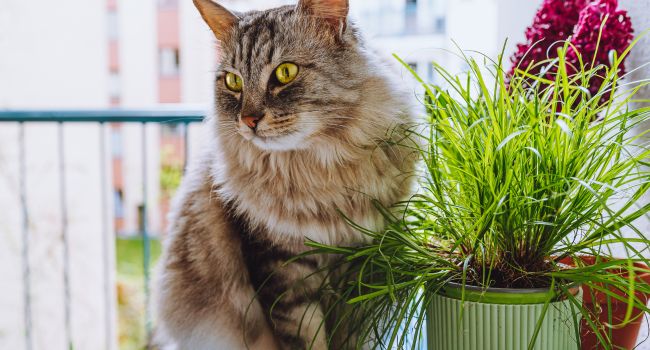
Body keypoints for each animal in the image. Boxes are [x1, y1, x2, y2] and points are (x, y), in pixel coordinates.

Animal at [153, 0, 416, 348]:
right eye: (233, 82)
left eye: (285, 72)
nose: (248, 120)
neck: (320, 172)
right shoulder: (280, 269)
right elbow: (305, 338)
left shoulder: (362, 265)